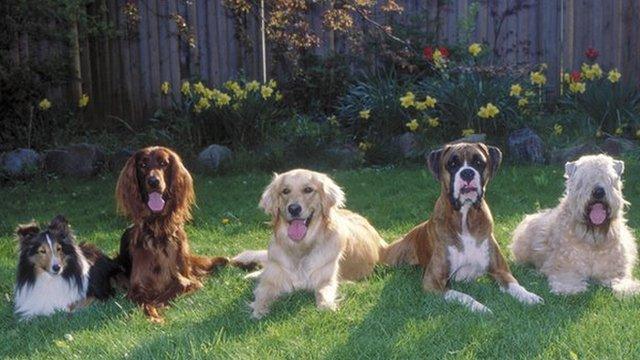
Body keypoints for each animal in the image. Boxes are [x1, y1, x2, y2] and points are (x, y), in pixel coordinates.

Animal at [114, 146, 228, 320]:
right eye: (143, 165)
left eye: (164, 163)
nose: (153, 182)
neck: (159, 230)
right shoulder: (136, 288)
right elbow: (147, 301)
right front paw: (155, 315)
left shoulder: (189, 279)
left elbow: (182, 284)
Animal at [234, 169, 384, 318]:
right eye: (285, 191)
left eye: (308, 190)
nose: (294, 208)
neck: (300, 247)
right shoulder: (273, 278)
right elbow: (262, 293)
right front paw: (258, 310)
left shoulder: (325, 279)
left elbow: (323, 293)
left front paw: (326, 307)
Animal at [510, 154, 640, 296]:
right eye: (583, 179)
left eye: (609, 178)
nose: (598, 192)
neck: (592, 240)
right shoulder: (566, 266)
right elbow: (567, 277)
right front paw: (569, 287)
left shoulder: (613, 269)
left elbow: (619, 278)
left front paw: (628, 288)